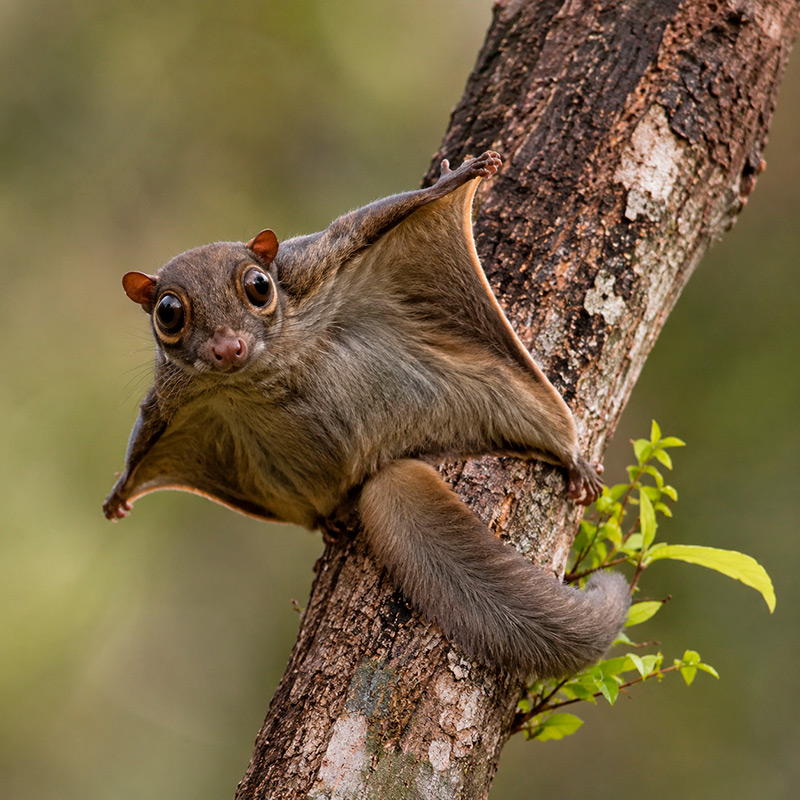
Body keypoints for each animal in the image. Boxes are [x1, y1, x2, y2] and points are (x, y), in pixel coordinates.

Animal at [104, 151, 630, 679]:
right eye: (168, 313)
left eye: (258, 286)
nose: (228, 347)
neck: (261, 371)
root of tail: (375, 464)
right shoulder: (173, 395)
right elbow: (145, 437)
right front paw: (120, 492)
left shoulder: (311, 263)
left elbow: (363, 223)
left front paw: (456, 178)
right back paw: (330, 521)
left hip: (495, 390)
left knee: (546, 424)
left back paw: (572, 459)